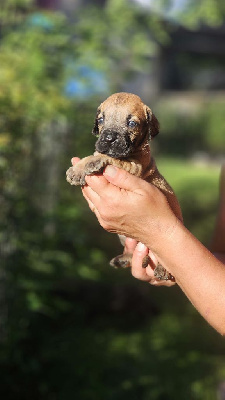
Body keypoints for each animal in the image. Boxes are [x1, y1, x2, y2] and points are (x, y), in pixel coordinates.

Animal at [66, 94, 182, 282]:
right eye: (101, 120)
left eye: (132, 123)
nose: (108, 138)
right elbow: (100, 153)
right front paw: (80, 168)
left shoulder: (133, 166)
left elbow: (109, 157)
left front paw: (86, 164)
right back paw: (123, 259)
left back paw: (163, 269)